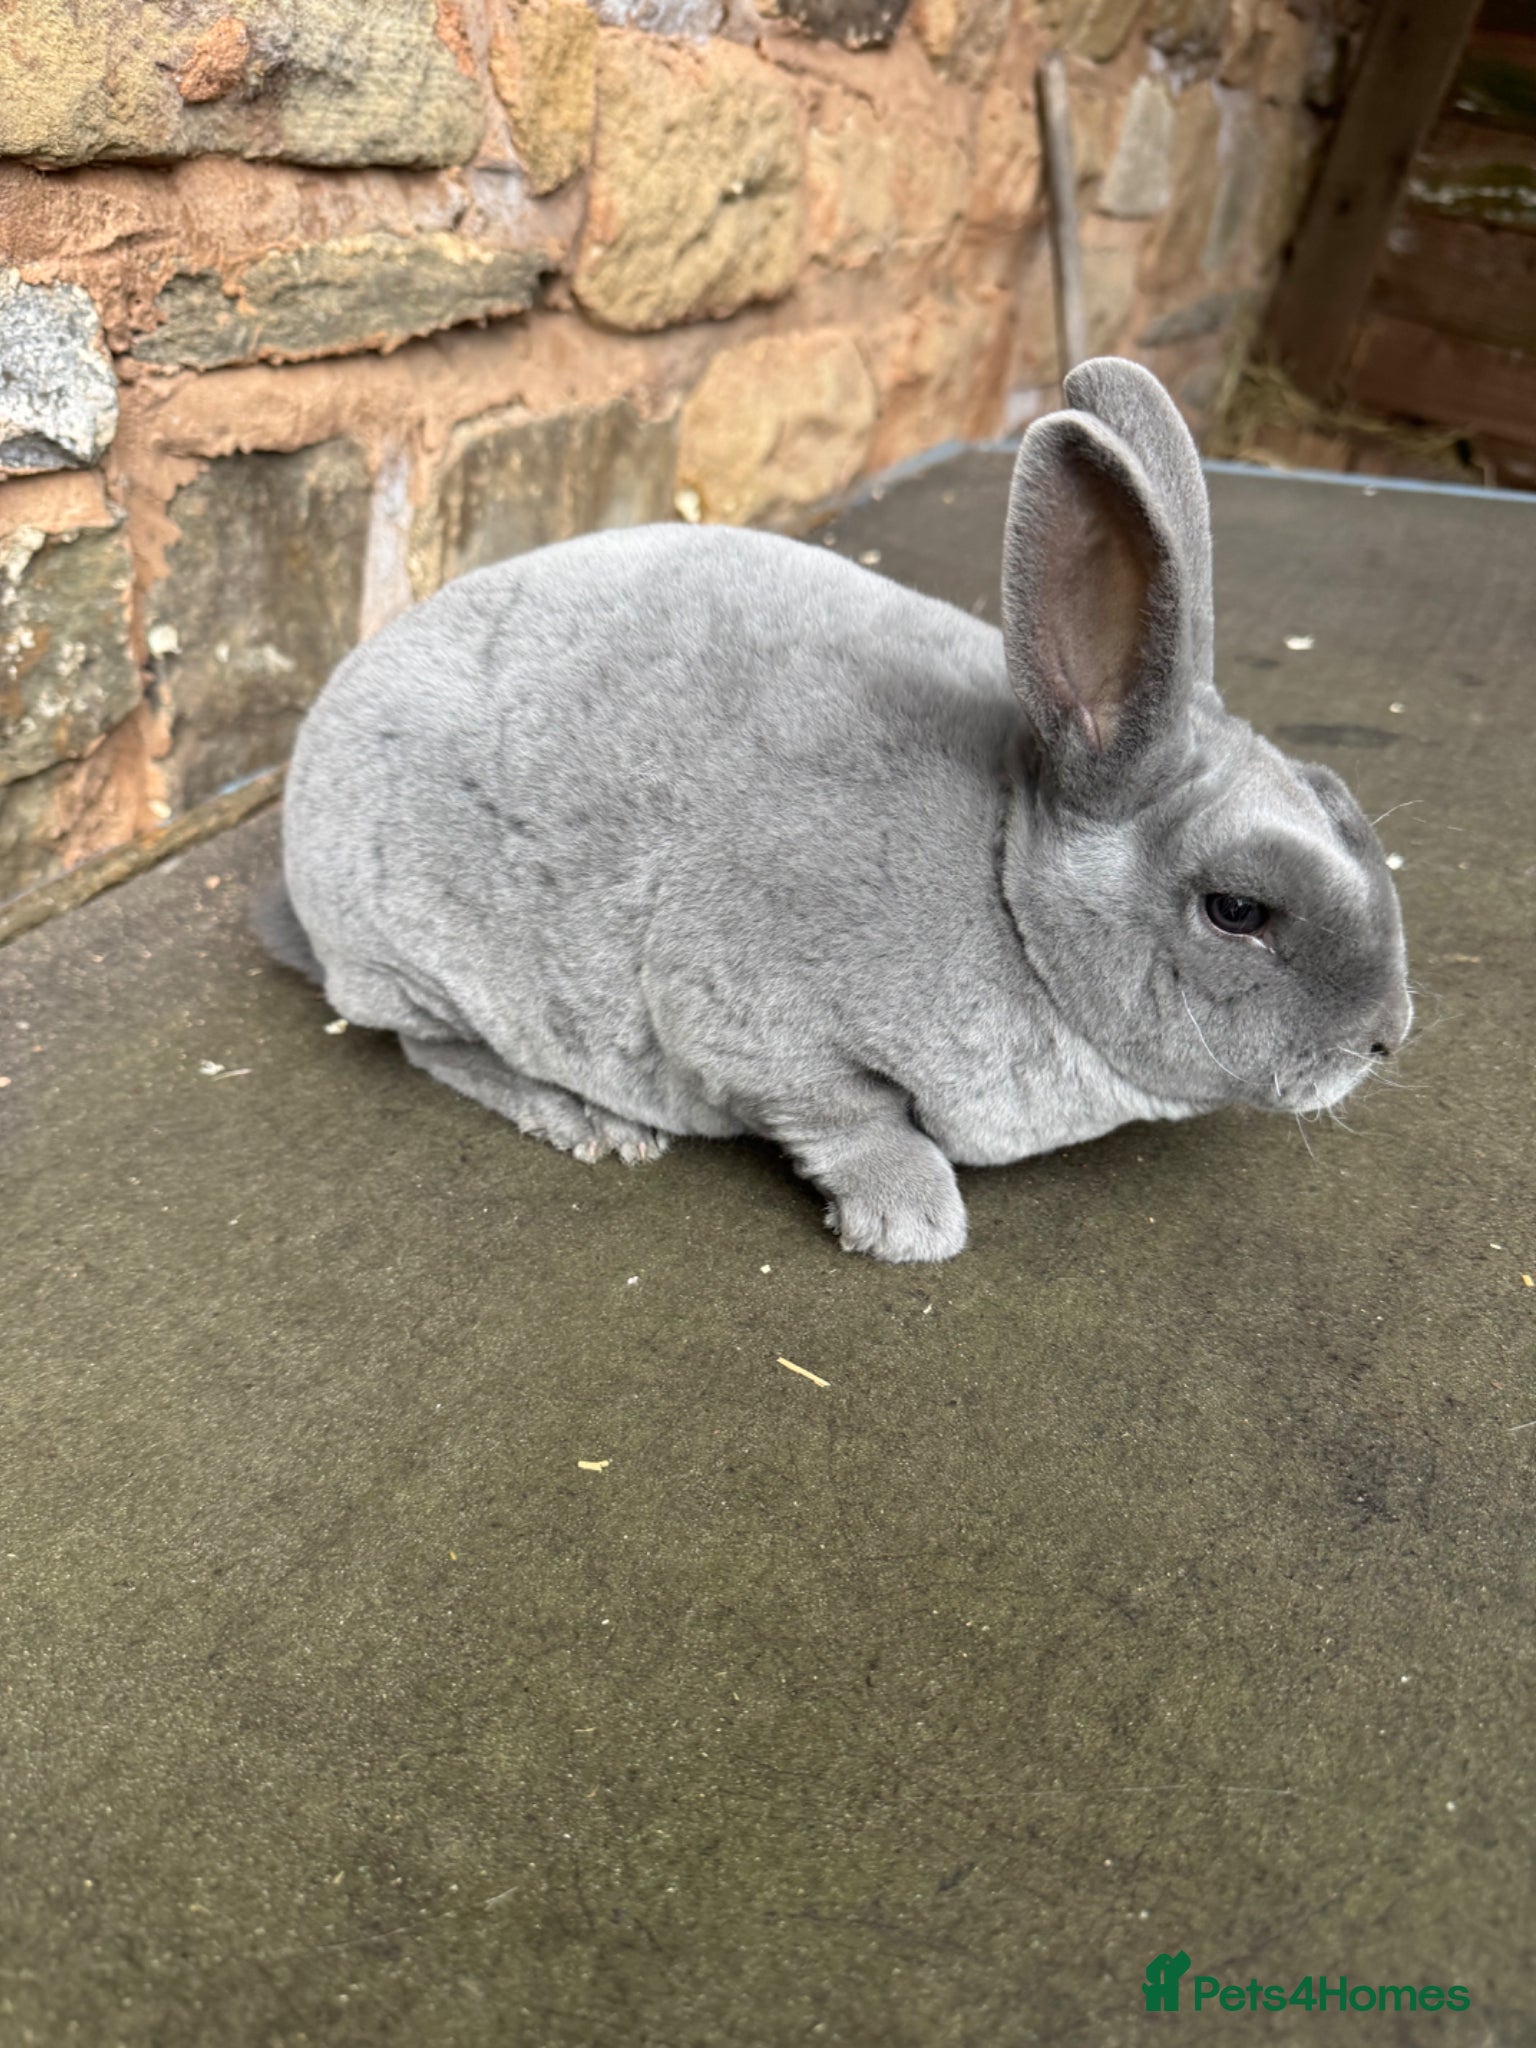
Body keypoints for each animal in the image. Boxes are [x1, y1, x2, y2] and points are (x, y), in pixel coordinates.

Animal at [262, 357, 1411, 1263]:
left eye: (1341, 800)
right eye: (1237, 910)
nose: (1385, 1039)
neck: (1007, 884)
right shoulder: (749, 1019)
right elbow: (851, 1116)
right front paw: (910, 1222)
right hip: (417, 961)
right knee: (426, 1046)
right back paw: (583, 1119)